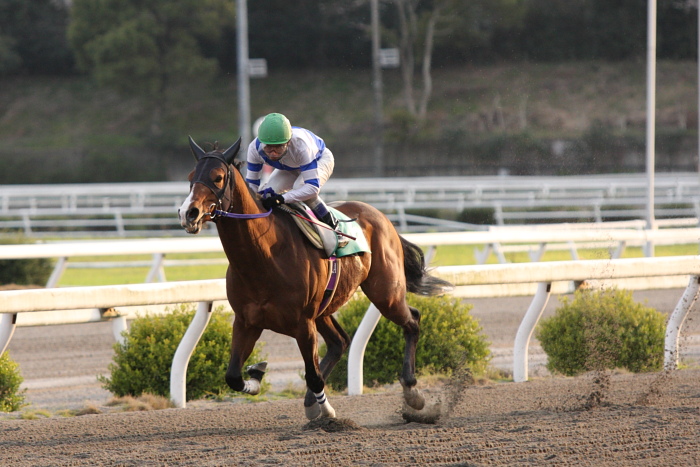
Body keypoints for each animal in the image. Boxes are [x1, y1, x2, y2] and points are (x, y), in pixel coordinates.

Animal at [178, 138, 452, 420]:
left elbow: (313, 375)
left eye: (218, 177)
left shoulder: (303, 323)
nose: (189, 213)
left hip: (385, 293)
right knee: (340, 342)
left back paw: (412, 391)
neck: (262, 258)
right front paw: (256, 373)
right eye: (190, 177)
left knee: (412, 321)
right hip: (326, 307)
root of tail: (382, 217)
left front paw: (328, 412)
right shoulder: (247, 321)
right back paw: (312, 399)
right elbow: (232, 376)